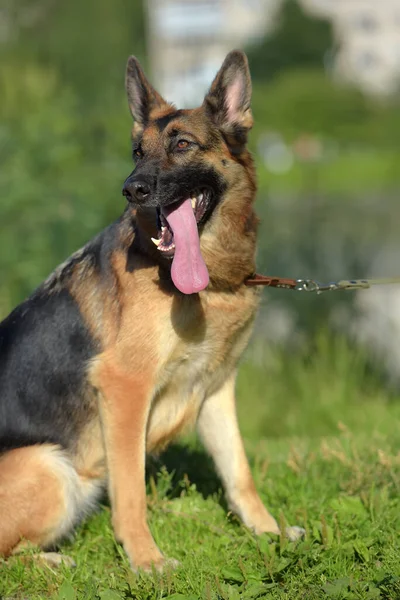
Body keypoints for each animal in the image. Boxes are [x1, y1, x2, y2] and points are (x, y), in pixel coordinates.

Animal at [0, 51, 302, 572]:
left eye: (182, 144)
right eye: (137, 153)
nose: (131, 189)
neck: (211, 284)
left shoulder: (216, 389)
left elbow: (239, 471)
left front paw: (268, 531)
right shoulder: (126, 389)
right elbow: (131, 491)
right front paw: (147, 562)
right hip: (51, 467)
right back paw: (55, 562)